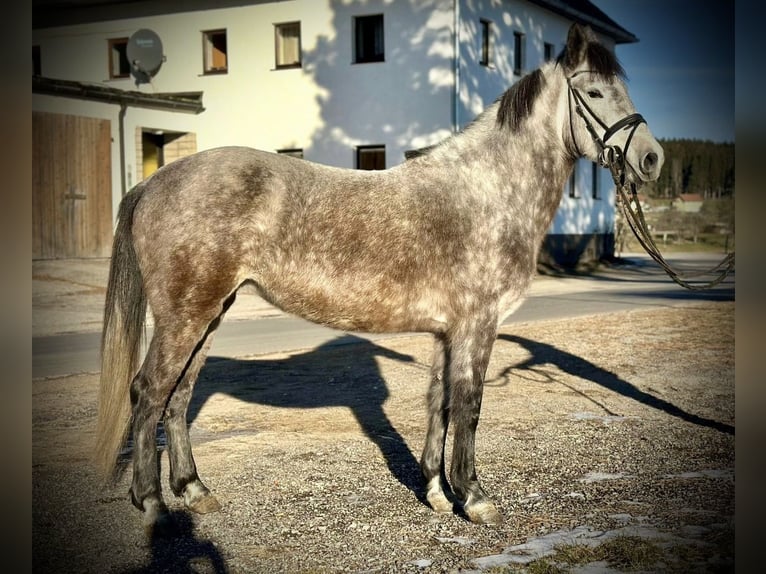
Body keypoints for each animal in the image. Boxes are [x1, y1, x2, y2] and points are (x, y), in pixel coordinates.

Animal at [94, 22, 660, 536]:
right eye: (593, 93)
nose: (651, 158)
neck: (486, 191)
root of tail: (153, 182)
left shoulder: (446, 332)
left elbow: (439, 404)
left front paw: (436, 493)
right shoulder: (478, 325)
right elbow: (470, 405)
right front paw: (475, 499)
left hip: (209, 315)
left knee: (179, 396)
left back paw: (194, 490)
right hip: (186, 316)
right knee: (149, 392)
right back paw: (152, 504)